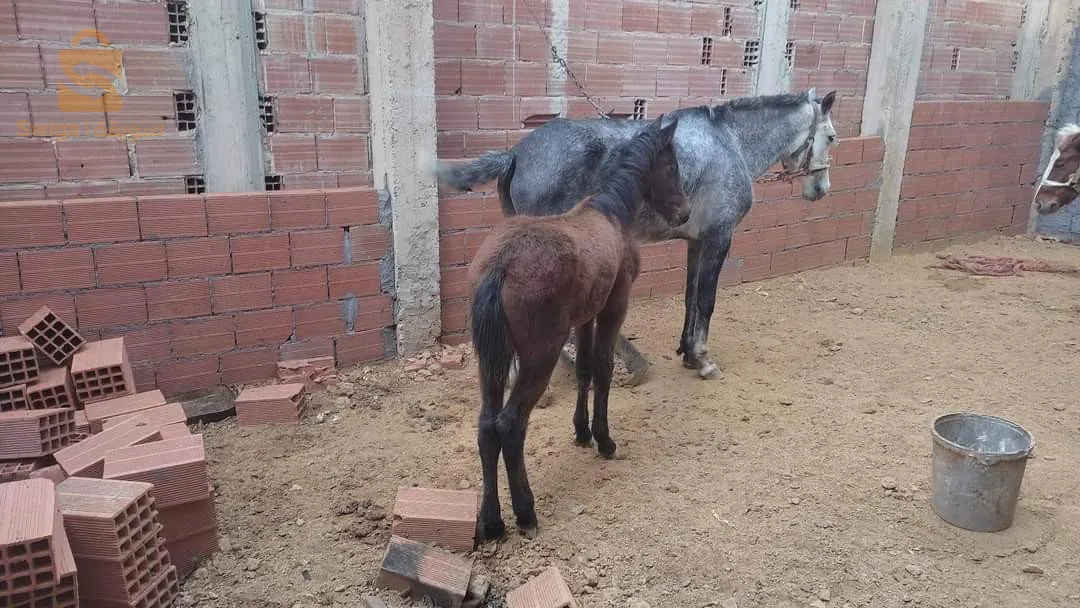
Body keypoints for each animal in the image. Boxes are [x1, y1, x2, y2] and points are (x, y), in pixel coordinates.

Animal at [440, 89, 839, 382]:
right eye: (832, 137)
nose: (821, 188)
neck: (730, 142)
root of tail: (515, 155)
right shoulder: (718, 238)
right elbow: (707, 301)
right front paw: (704, 359)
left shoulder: (696, 242)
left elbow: (690, 298)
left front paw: (687, 352)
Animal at [467, 115, 689, 542]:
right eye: (672, 166)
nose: (684, 212)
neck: (610, 212)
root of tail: (501, 265)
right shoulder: (614, 307)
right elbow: (603, 368)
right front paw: (604, 439)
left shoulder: (586, 316)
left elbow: (585, 367)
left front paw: (582, 432)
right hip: (540, 355)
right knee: (509, 425)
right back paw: (525, 513)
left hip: (490, 358)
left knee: (487, 426)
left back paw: (492, 522)